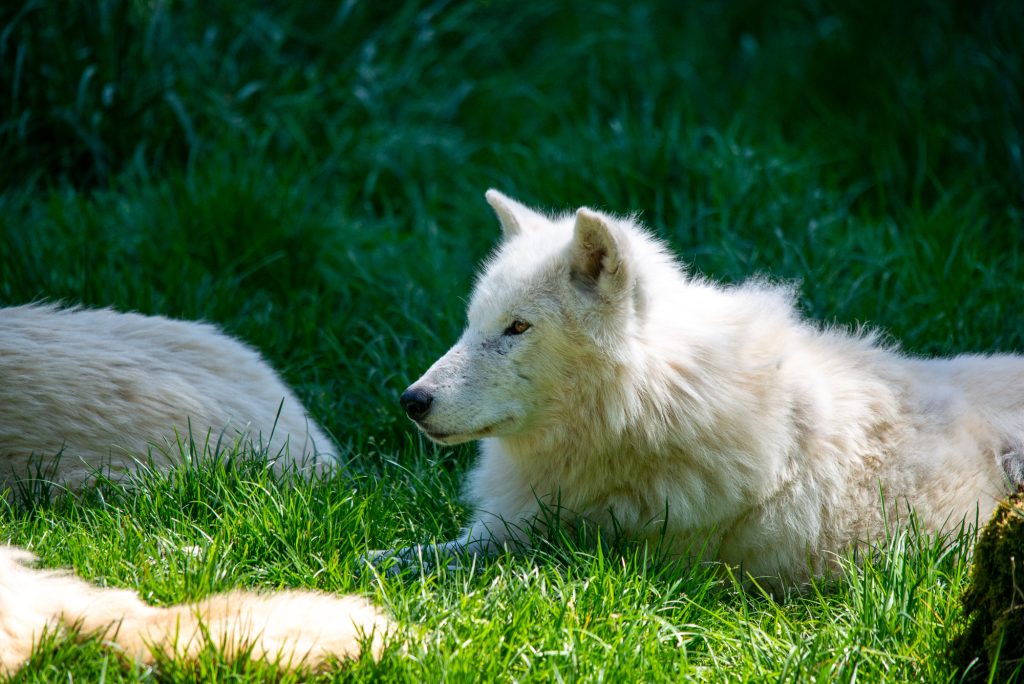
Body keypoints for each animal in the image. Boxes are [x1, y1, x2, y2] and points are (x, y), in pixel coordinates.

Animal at [395, 189, 1020, 585]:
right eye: (472, 324)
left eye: (518, 328)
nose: (411, 401)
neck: (654, 402)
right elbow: (406, 554)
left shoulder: (569, 549)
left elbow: (441, 563)